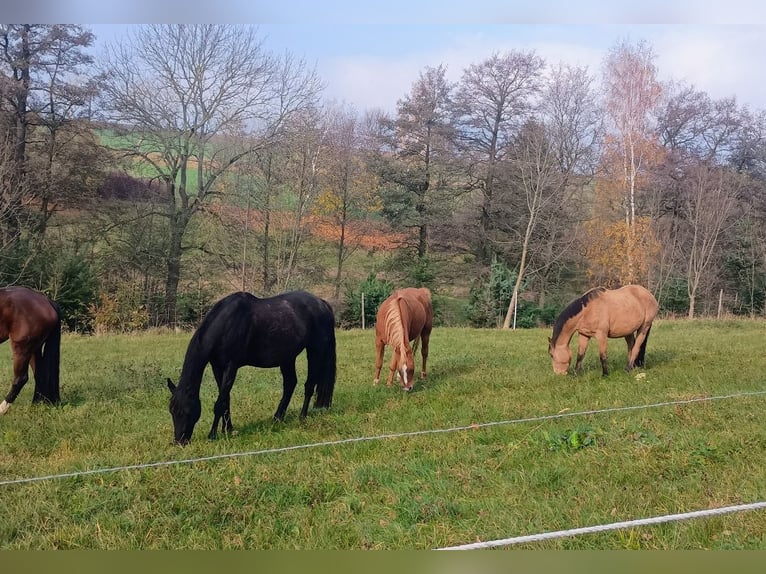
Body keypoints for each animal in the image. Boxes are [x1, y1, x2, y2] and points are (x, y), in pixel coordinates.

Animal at [0, 286, 62, 414]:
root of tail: (46, 300)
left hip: (22, 348)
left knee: (21, 378)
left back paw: (2, 409)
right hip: (34, 349)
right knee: (39, 374)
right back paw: (36, 404)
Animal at [166, 290, 338, 448]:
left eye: (186, 411)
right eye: (172, 411)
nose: (179, 442)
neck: (227, 324)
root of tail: (323, 304)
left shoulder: (231, 366)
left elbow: (220, 403)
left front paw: (213, 434)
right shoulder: (217, 367)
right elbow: (226, 399)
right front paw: (228, 429)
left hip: (315, 350)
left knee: (309, 385)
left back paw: (302, 417)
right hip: (287, 357)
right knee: (290, 384)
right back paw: (277, 418)